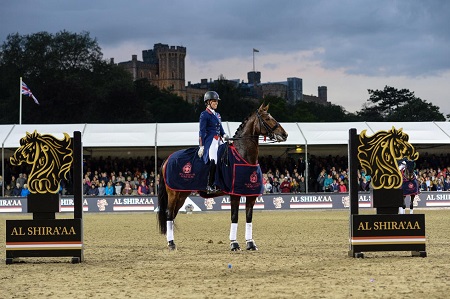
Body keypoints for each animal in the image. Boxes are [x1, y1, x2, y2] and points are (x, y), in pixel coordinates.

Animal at [156, 104, 286, 252]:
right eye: (267, 118)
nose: (284, 134)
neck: (243, 155)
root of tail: (168, 158)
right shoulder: (235, 194)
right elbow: (234, 217)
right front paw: (234, 244)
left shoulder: (251, 194)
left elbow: (249, 218)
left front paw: (250, 243)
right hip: (173, 193)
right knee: (169, 214)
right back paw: (171, 244)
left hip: (182, 194)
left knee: (172, 215)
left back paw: (171, 243)